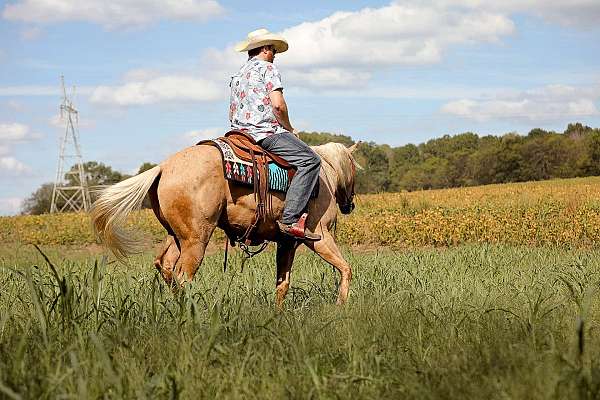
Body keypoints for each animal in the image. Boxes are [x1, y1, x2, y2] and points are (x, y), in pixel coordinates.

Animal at [91, 139, 358, 304]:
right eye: (355, 169)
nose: (350, 205)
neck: (323, 176)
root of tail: (163, 167)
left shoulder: (286, 243)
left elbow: (282, 284)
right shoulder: (319, 236)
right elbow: (346, 268)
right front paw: (340, 305)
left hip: (176, 236)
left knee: (164, 266)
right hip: (196, 240)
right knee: (183, 277)